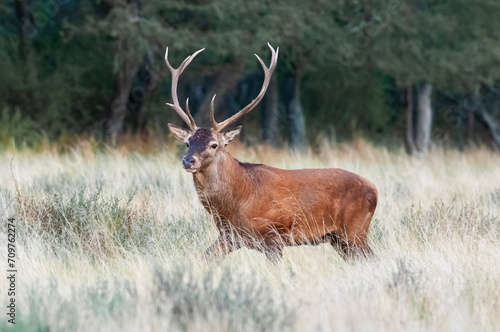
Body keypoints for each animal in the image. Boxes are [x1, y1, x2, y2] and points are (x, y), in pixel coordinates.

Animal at [166, 43, 376, 262]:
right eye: (188, 142)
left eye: (214, 144)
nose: (188, 161)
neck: (236, 204)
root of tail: (375, 190)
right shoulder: (229, 235)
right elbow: (204, 258)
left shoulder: (274, 235)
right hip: (339, 239)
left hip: (354, 230)